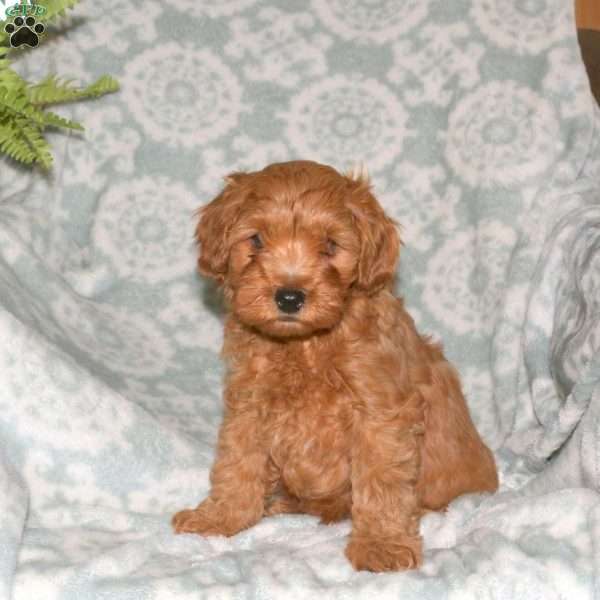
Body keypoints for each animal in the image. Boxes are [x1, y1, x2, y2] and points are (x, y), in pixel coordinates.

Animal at [172, 159, 496, 572]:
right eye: (256, 241)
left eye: (329, 245)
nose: (289, 297)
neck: (304, 346)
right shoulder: (248, 406)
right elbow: (237, 463)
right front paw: (221, 517)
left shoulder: (380, 414)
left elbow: (381, 481)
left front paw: (381, 544)